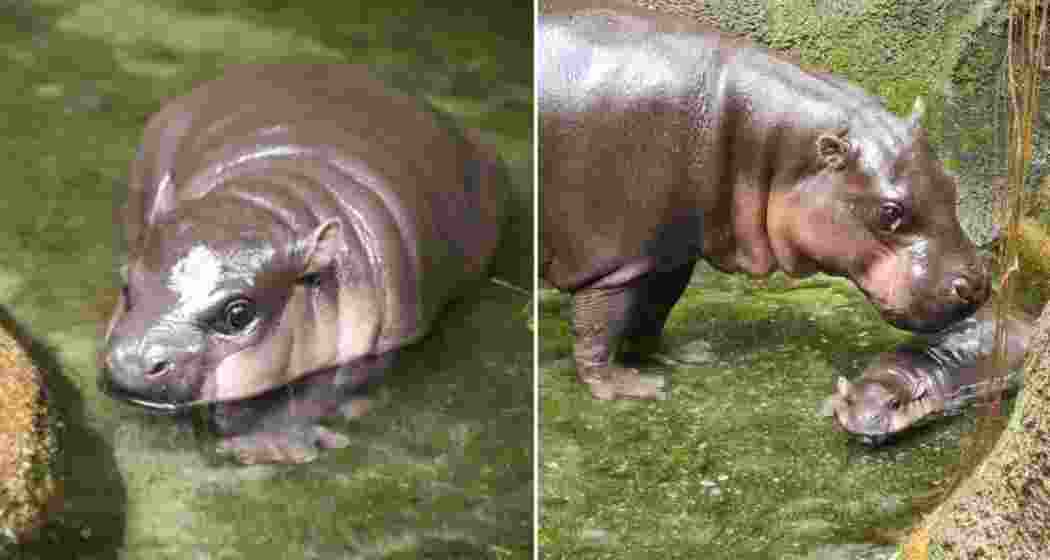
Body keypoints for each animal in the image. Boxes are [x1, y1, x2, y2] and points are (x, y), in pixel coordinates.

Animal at [100, 64, 506, 462]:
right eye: (126, 284)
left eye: (238, 313)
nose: (131, 362)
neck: (267, 199)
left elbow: (331, 387)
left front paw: (269, 445)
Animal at [537, 9, 986, 401]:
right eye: (889, 212)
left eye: (951, 182)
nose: (979, 284)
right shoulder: (614, 258)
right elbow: (600, 323)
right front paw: (625, 387)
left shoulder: (672, 250)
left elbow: (656, 307)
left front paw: (681, 355)